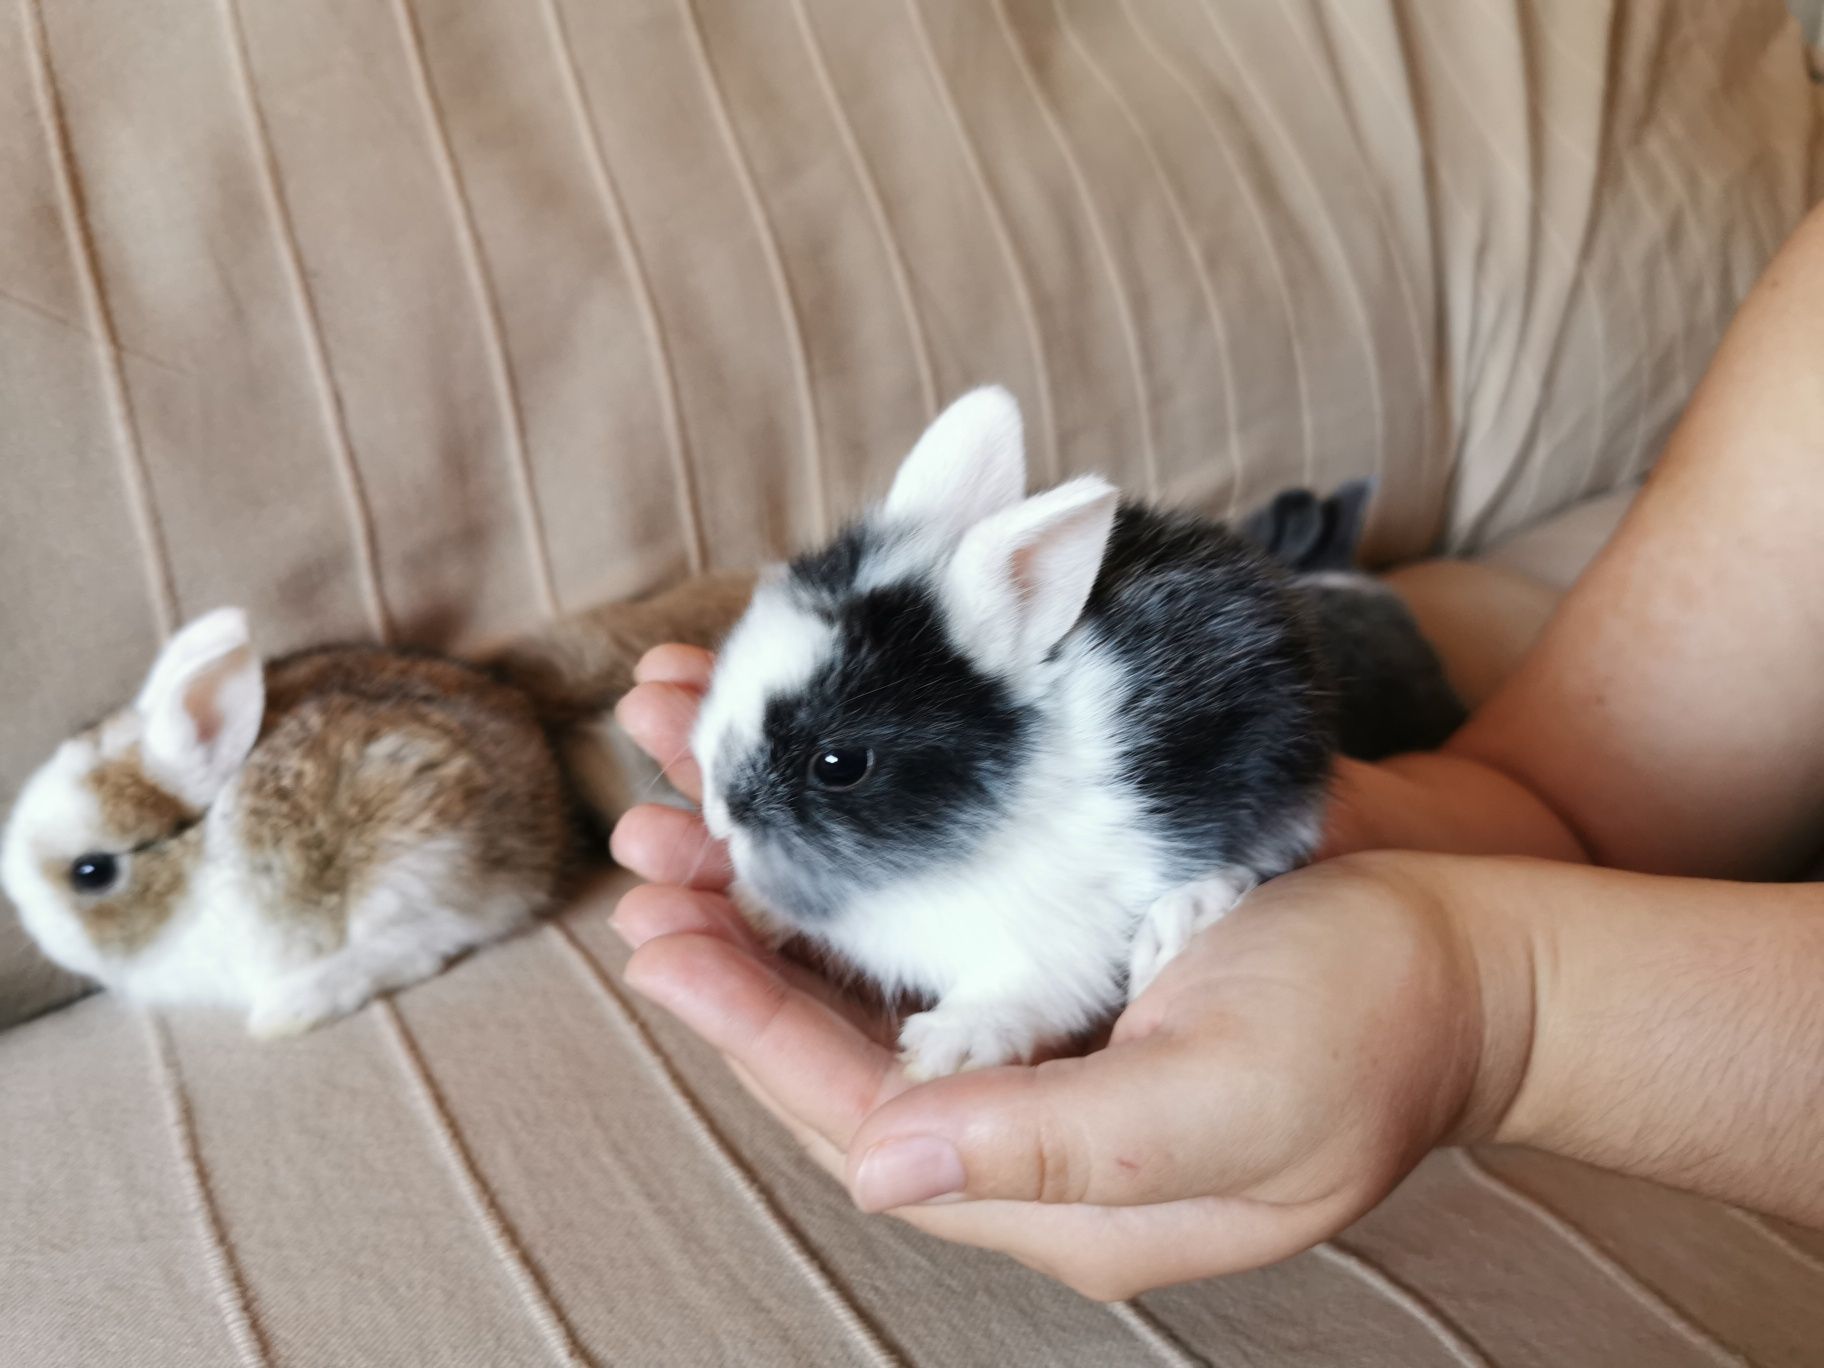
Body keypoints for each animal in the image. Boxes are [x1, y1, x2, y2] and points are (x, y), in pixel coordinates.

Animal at [0, 609, 569, 1036]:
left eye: (92, 872)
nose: (32, 921)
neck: (197, 860)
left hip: (407, 861)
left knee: (429, 941)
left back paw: (291, 1008)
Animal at [689, 388, 1459, 1079]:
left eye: (839, 763)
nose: (722, 814)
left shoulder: (1049, 950)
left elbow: (1016, 994)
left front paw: (942, 1049)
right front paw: (757, 910)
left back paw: (1178, 925)